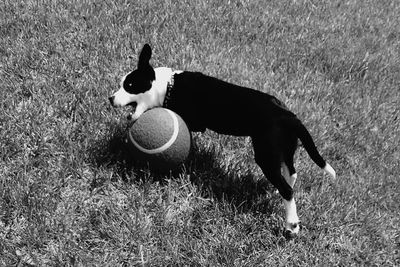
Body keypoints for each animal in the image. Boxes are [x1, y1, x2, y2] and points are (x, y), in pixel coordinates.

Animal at [108, 43, 336, 234]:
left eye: (129, 85)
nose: (110, 98)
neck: (168, 85)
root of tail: (289, 116)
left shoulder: (193, 121)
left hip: (266, 153)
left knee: (287, 189)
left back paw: (291, 225)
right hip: (285, 148)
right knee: (291, 174)